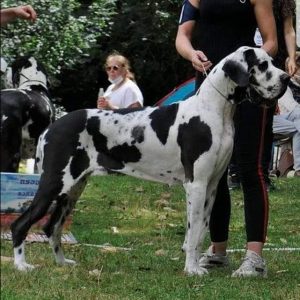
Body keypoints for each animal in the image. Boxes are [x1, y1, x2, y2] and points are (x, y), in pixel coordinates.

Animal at [10, 48, 290, 276]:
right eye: (262, 65)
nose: (287, 78)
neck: (214, 109)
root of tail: (52, 127)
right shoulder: (196, 184)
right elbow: (193, 231)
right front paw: (191, 270)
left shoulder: (211, 186)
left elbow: (200, 232)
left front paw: (195, 264)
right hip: (54, 183)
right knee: (20, 224)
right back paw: (21, 265)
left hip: (73, 189)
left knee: (52, 227)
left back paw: (62, 263)